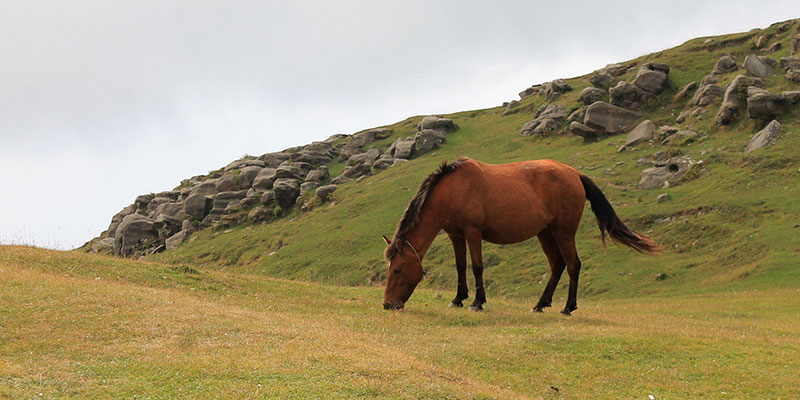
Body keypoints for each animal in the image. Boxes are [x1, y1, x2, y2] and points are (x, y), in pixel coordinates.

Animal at [384, 158, 660, 314]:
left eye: (397, 269)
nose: (388, 304)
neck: (453, 190)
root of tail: (575, 175)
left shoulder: (473, 233)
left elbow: (477, 267)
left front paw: (477, 302)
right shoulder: (456, 235)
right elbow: (460, 267)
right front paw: (458, 298)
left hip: (563, 233)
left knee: (573, 265)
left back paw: (567, 307)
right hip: (545, 234)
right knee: (557, 265)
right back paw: (540, 304)